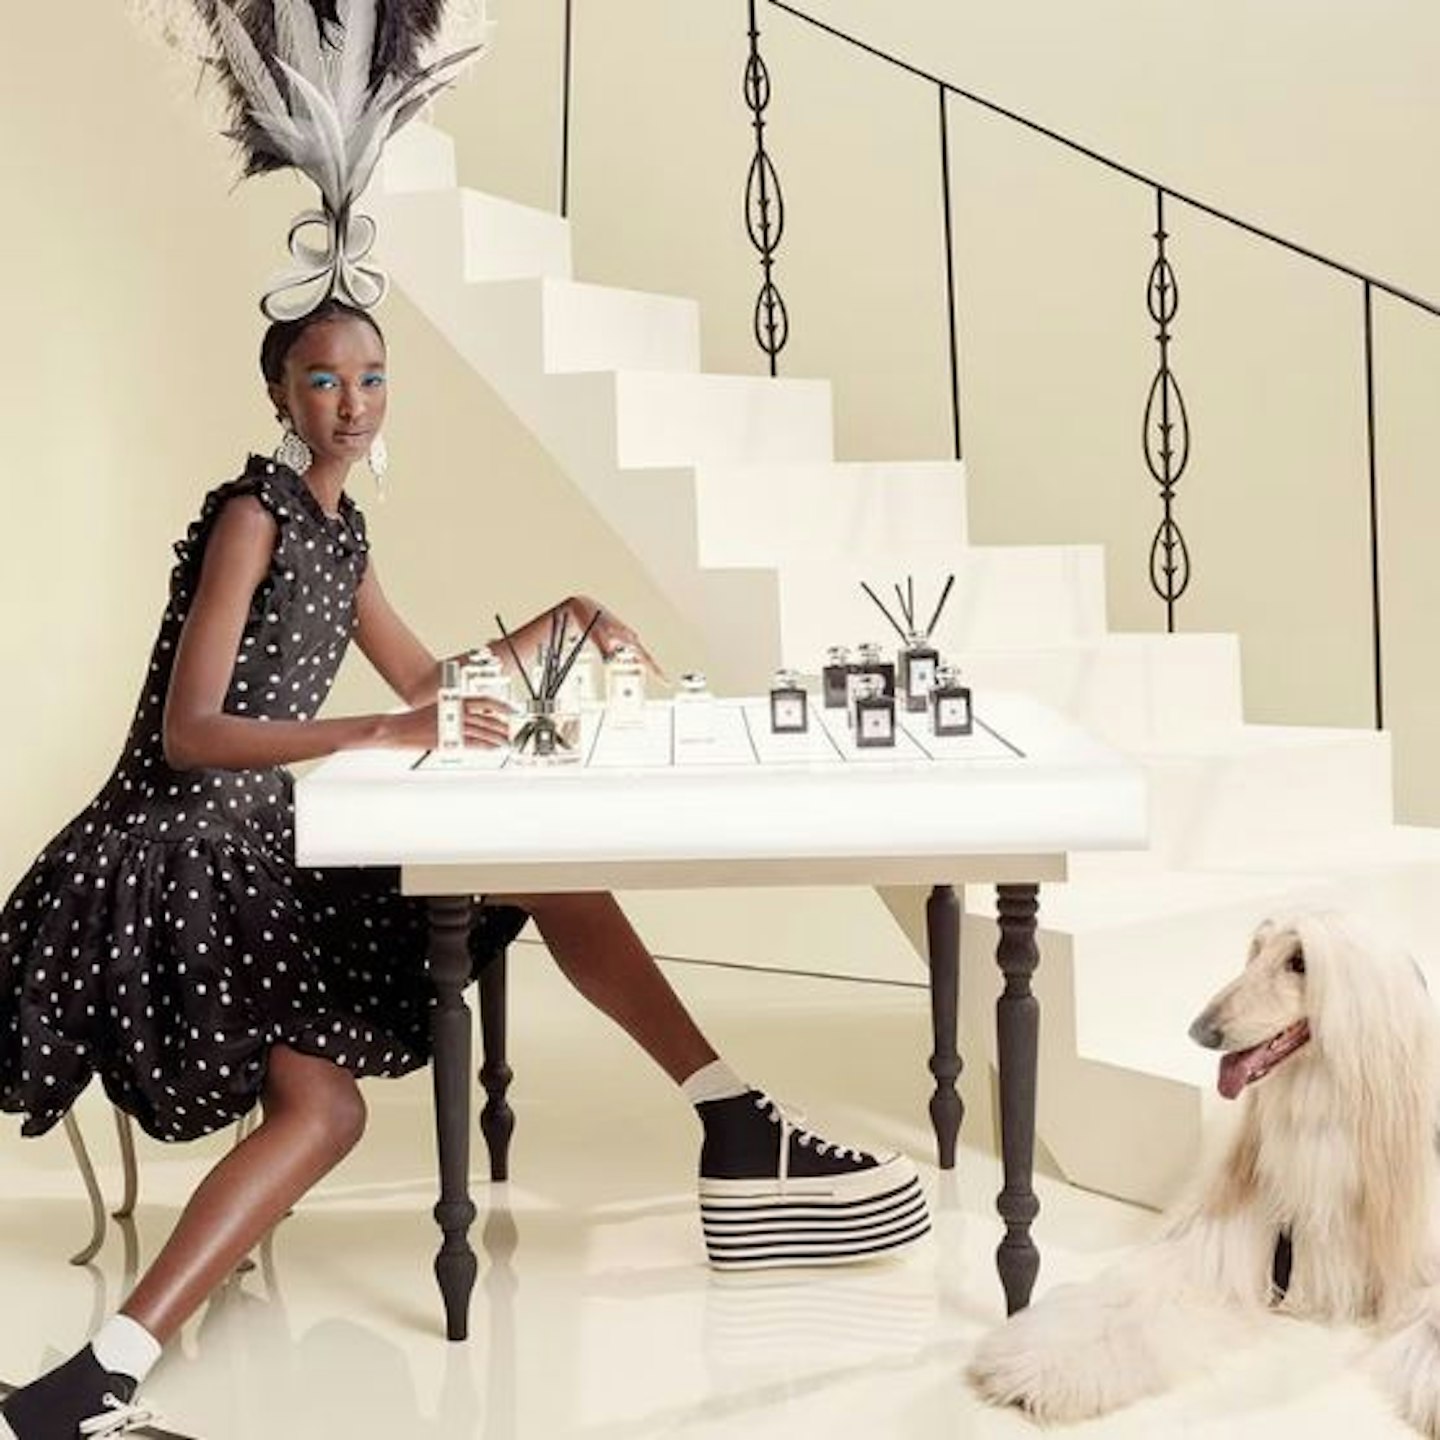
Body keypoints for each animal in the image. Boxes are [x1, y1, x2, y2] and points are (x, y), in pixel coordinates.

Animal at [967, 915, 1440, 1434]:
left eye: (1300, 962)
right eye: (1255, 951)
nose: (1200, 1031)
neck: (1324, 1117)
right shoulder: (1237, 1236)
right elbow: (1137, 1294)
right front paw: (1034, 1362)